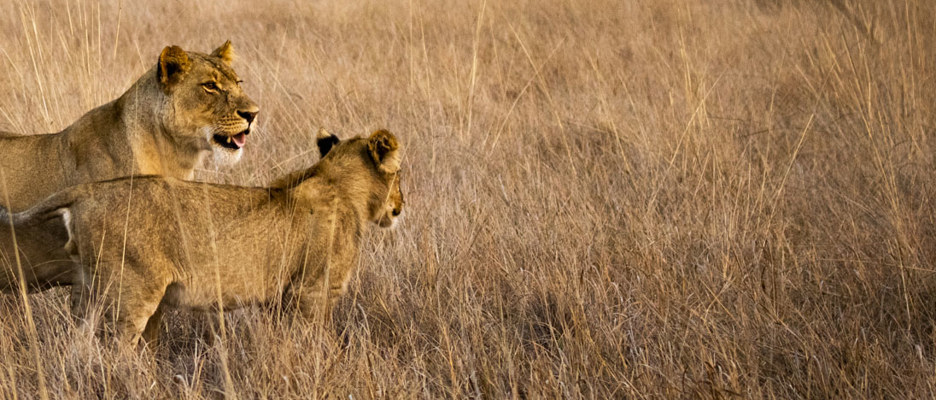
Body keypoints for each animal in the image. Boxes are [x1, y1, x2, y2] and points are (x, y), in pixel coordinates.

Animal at [1, 129, 404, 346]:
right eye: (400, 175)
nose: (401, 207)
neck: (337, 180)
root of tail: (88, 190)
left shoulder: (283, 296)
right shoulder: (313, 291)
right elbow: (317, 342)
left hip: (88, 289)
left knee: (80, 346)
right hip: (132, 290)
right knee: (117, 349)